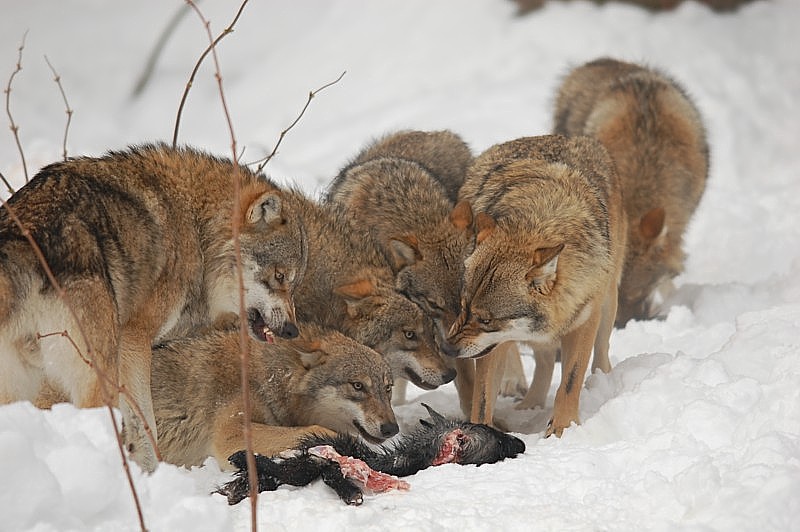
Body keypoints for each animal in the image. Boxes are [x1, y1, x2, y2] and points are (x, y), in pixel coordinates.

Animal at [0, 143, 306, 472]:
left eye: (293, 282)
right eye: (280, 276)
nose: (293, 330)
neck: (197, 228)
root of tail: (23, 238)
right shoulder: (136, 340)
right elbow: (145, 423)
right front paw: (151, 470)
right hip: (97, 371)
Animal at [150, 320, 396, 466]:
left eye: (387, 388)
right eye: (358, 386)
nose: (392, 429)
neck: (264, 376)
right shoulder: (231, 431)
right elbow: (314, 429)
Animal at [446, 134, 628, 436]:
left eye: (485, 320)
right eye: (463, 308)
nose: (448, 350)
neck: (535, 222)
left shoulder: (583, 323)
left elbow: (569, 383)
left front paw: (562, 430)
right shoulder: (492, 347)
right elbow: (482, 400)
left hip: (607, 303)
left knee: (601, 353)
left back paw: (601, 382)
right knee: (544, 363)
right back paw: (529, 407)